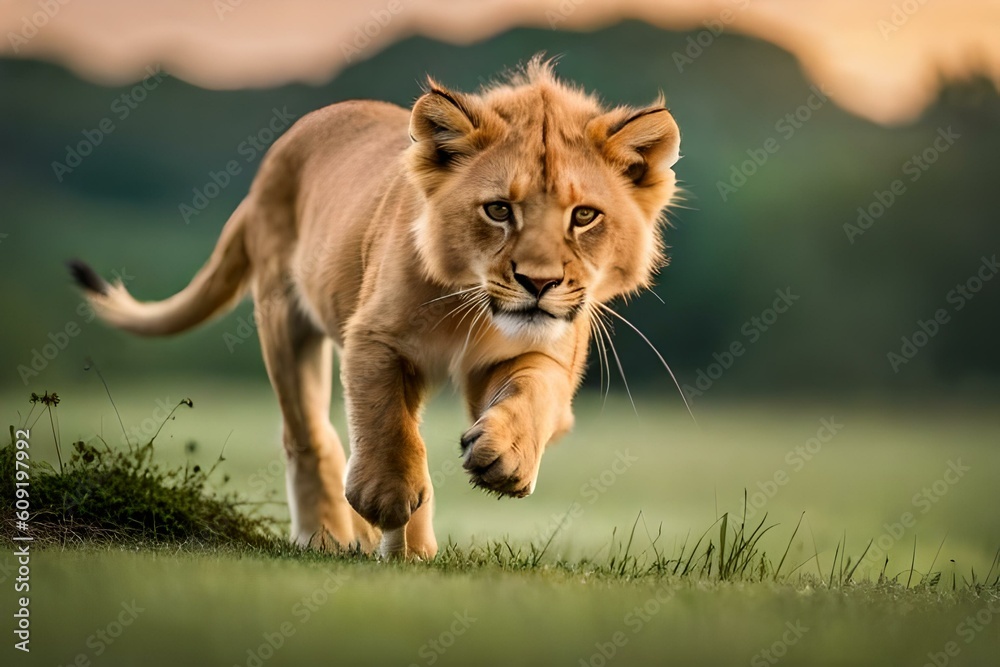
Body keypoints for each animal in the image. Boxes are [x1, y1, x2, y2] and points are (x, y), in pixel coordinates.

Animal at [69, 58, 682, 559]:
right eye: (499, 210)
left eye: (584, 216)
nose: (539, 282)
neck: (471, 309)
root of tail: (275, 157)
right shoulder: (375, 337)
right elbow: (386, 423)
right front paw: (383, 497)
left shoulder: (538, 351)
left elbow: (533, 393)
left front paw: (503, 460)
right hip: (284, 316)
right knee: (309, 434)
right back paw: (331, 535)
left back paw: (407, 546)